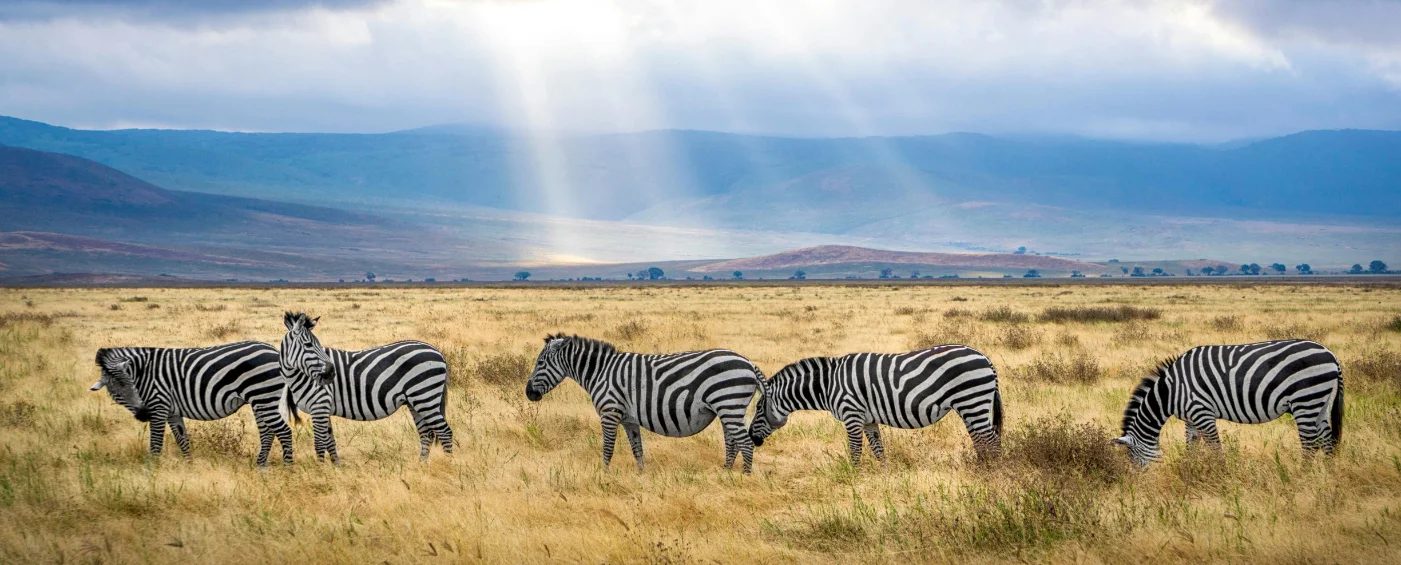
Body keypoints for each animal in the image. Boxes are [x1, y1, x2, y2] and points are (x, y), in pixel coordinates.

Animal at [90, 341, 293, 466]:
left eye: (132, 385)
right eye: (116, 392)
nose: (143, 414)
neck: (143, 372)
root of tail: (274, 350)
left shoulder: (159, 406)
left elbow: (156, 443)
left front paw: (152, 470)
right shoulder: (172, 412)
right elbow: (182, 440)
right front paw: (189, 465)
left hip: (263, 397)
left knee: (284, 431)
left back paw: (288, 468)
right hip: (260, 400)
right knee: (267, 432)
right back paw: (260, 465)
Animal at [278, 312, 454, 462]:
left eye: (317, 344)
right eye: (308, 344)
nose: (331, 373)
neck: (300, 376)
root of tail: (437, 351)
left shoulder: (319, 405)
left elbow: (320, 444)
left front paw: (320, 470)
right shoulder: (323, 408)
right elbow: (330, 442)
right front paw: (336, 467)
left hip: (425, 397)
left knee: (444, 432)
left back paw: (448, 464)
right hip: (415, 401)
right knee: (426, 433)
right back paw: (421, 465)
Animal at [525, 334, 764, 473]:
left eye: (540, 362)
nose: (528, 393)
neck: (600, 372)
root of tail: (748, 362)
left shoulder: (609, 412)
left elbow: (608, 447)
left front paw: (603, 475)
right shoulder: (629, 419)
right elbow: (637, 449)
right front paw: (641, 476)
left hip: (728, 403)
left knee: (745, 442)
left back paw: (744, 477)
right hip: (727, 409)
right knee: (732, 441)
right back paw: (726, 472)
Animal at [748, 344, 1003, 465]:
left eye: (758, 409)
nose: (751, 437)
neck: (828, 385)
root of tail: (984, 357)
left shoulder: (852, 415)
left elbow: (855, 451)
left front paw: (853, 477)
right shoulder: (868, 420)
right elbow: (879, 451)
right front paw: (884, 477)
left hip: (972, 400)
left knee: (991, 440)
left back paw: (992, 472)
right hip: (972, 405)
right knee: (982, 440)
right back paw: (982, 468)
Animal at [1114, 339, 1343, 466]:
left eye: (1133, 459)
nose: (1141, 484)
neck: (1170, 391)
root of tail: (1331, 354)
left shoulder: (1202, 412)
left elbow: (1216, 448)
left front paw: (1221, 476)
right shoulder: (1191, 418)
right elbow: (1191, 446)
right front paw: (1189, 470)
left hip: (1305, 399)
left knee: (1310, 444)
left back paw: (1301, 478)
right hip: (1320, 402)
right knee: (1326, 439)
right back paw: (1327, 477)